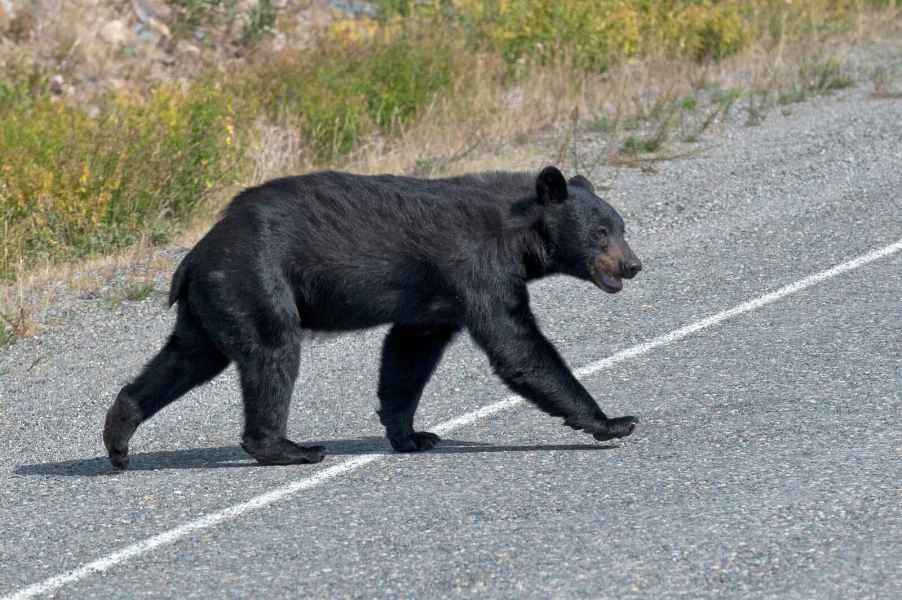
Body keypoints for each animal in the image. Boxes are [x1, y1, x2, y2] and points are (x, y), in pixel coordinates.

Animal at [103, 166, 642, 469]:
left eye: (622, 227)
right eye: (600, 233)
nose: (632, 265)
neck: (520, 238)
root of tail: (196, 256)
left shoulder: (434, 300)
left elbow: (408, 354)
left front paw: (411, 434)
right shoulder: (476, 267)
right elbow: (517, 346)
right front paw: (612, 421)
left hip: (213, 304)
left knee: (185, 358)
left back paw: (119, 436)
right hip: (257, 282)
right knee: (271, 355)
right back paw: (290, 448)